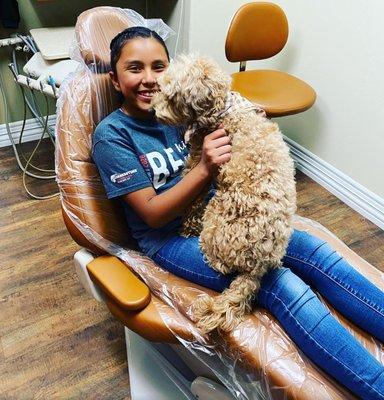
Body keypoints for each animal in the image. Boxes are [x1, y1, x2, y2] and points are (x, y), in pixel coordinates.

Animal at [152, 54, 296, 332]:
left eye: (171, 96)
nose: (153, 110)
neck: (222, 110)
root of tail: (256, 268)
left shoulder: (199, 162)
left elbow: (193, 203)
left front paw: (186, 228)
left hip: (215, 221)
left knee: (218, 261)